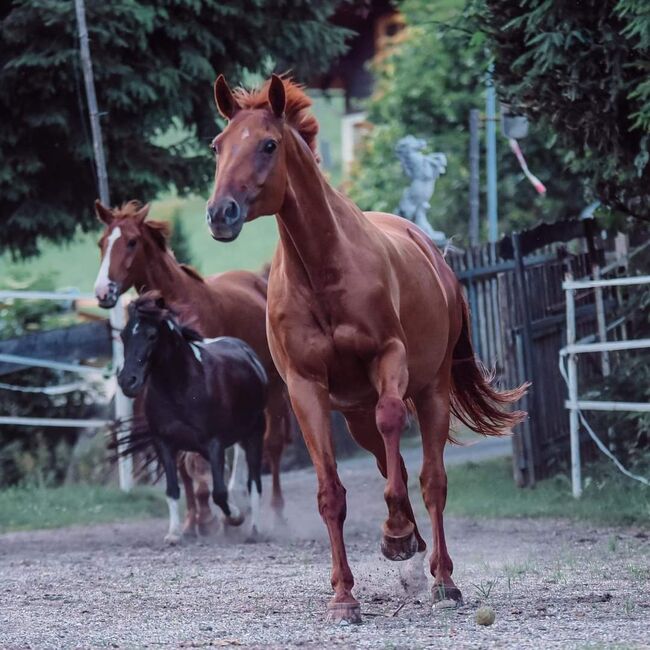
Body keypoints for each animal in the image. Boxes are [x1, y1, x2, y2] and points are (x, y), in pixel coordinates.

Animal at [117, 292, 268, 540]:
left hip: (255, 433)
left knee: (254, 482)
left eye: (152, 335)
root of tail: (248, 353)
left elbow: (219, 492)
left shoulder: (215, 443)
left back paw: (254, 529)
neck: (182, 388)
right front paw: (174, 534)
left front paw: (235, 518)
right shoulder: (164, 444)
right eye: (123, 335)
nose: (128, 380)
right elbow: (172, 489)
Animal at [208, 73, 528, 620]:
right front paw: (344, 596)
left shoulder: (389, 361)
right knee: (388, 463)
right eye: (217, 145)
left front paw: (397, 537)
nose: (219, 213)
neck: (323, 271)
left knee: (431, 479)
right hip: (355, 415)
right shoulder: (305, 389)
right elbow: (330, 494)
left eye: (268, 144)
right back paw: (412, 558)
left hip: (432, 390)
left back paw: (440, 576)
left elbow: (397, 431)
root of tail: (430, 250)